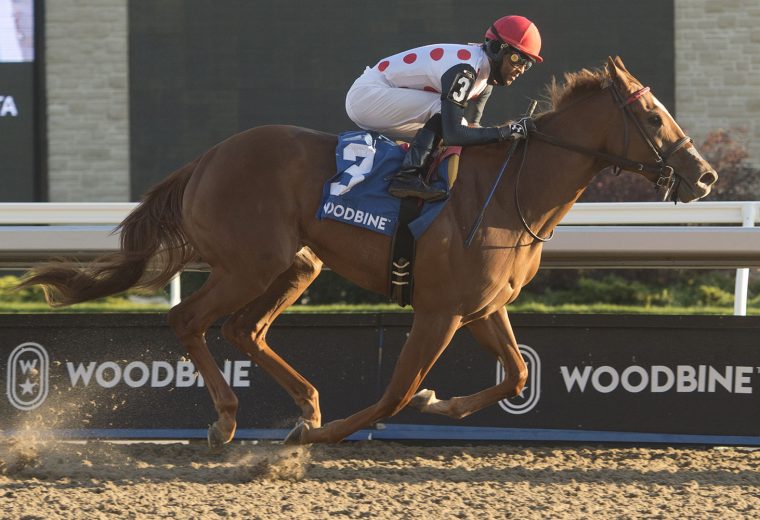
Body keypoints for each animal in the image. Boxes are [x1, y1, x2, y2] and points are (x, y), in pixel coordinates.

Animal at [20, 58, 716, 446]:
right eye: (653, 118)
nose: (705, 176)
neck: (511, 190)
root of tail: (206, 158)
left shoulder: (482, 308)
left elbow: (517, 374)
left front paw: (442, 403)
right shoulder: (437, 313)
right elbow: (395, 396)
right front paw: (324, 436)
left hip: (297, 264)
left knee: (244, 330)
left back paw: (302, 402)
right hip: (250, 263)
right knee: (188, 319)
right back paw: (228, 419)